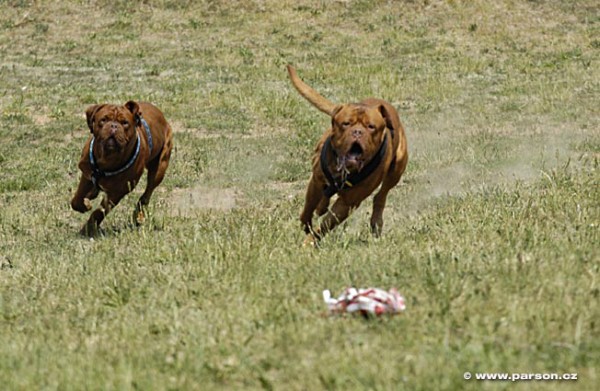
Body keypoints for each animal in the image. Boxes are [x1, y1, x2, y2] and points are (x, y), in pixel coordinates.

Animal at [288, 66, 410, 247]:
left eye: (371, 127)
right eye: (346, 123)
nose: (357, 132)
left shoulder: (348, 202)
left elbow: (325, 224)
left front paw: (310, 240)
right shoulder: (316, 180)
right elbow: (308, 207)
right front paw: (306, 225)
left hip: (397, 168)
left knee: (380, 196)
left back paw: (376, 222)